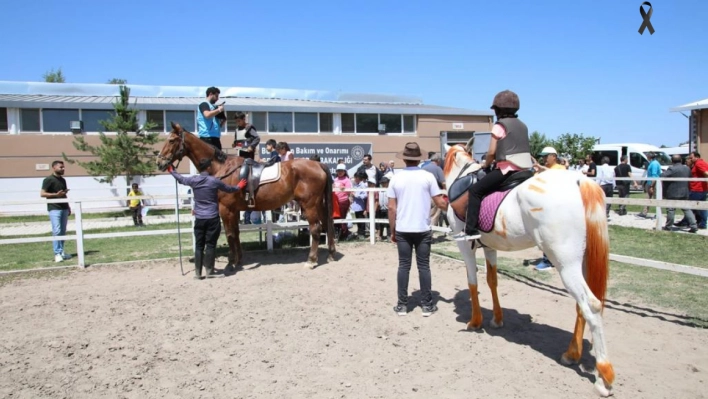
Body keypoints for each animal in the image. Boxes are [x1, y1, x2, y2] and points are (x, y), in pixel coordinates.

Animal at [157, 123, 338, 270]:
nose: (160, 162)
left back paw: (311, 260)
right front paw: (238, 260)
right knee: (327, 223)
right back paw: (330, 254)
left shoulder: (226, 209)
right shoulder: (235, 210)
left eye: (171, 140)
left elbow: (230, 234)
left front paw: (231, 262)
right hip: (319, 204)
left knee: (315, 228)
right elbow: (236, 233)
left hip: (310, 205)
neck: (222, 167)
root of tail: (318, 164)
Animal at [446, 144, 612, 396]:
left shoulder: (465, 245)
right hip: (580, 262)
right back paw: (572, 354)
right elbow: (492, 281)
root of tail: (578, 180)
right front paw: (497, 319)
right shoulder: (490, 247)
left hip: (565, 263)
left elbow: (472, 281)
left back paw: (604, 377)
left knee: (591, 305)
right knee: (581, 306)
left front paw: (475, 322)